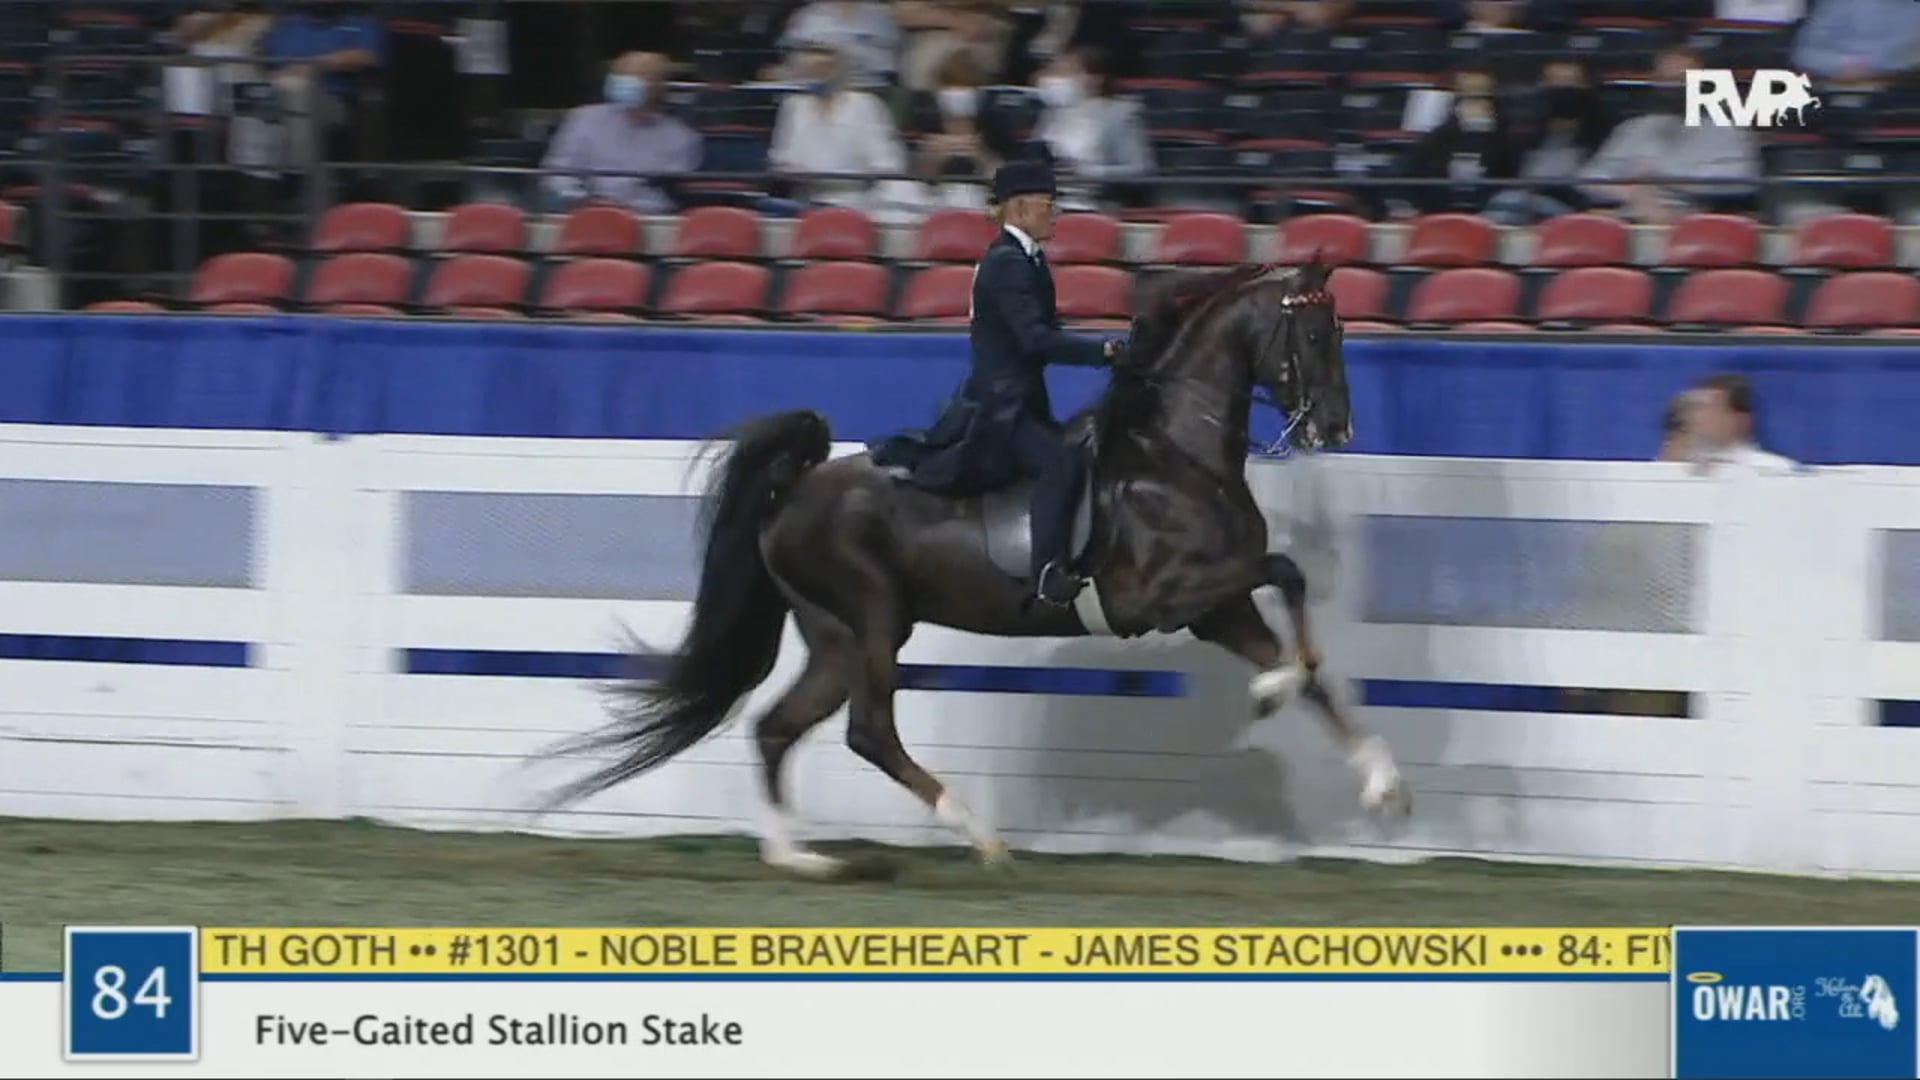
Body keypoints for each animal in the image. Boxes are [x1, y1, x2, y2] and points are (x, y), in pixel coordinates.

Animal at [542, 258, 1411, 878]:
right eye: (1314, 335)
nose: (1338, 428)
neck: (1176, 454)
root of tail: (798, 486)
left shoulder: (1215, 607)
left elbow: (1309, 654)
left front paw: (1383, 785)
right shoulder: (1159, 599)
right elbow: (1287, 574)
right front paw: (1272, 692)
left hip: (834, 634)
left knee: (777, 727)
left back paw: (799, 858)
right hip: (873, 619)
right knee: (868, 731)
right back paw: (980, 836)